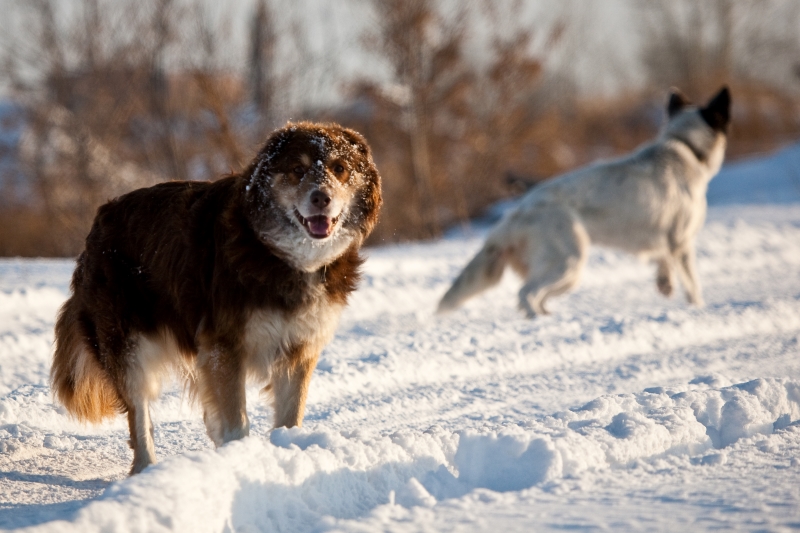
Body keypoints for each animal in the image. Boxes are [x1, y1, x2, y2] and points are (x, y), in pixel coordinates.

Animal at [51, 121, 382, 474]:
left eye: (340, 169)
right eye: (297, 170)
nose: (321, 197)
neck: (282, 257)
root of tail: (101, 218)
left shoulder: (299, 346)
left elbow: (289, 416)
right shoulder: (225, 345)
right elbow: (236, 420)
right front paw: (240, 458)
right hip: (126, 345)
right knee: (139, 415)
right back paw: (146, 468)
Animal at [438, 87, 732, 316]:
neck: (685, 147)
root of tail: (516, 213)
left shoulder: (664, 241)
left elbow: (662, 263)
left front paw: (665, 284)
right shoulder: (681, 243)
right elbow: (693, 286)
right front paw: (698, 309)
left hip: (568, 273)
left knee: (534, 297)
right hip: (569, 262)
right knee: (527, 294)